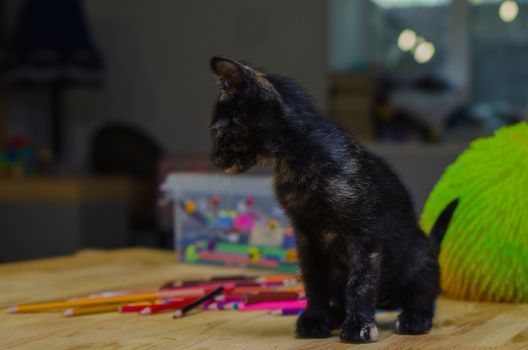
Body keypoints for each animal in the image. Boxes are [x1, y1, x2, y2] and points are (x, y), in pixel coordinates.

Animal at [208, 56, 456, 342]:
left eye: (217, 131)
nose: (212, 158)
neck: (297, 162)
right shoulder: (306, 236)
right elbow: (313, 280)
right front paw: (316, 317)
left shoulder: (363, 232)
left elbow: (360, 282)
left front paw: (359, 324)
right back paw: (337, 314)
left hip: (418, 254)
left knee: (424, 291)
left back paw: (414, 317)